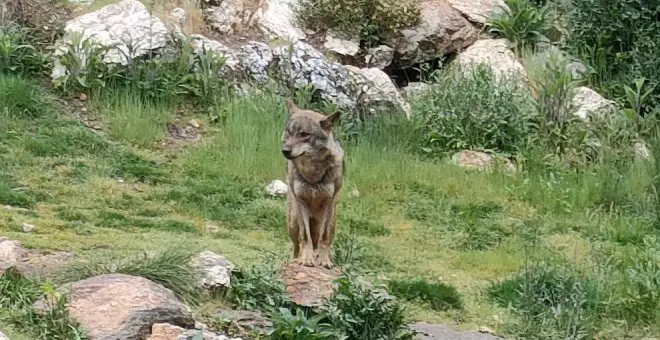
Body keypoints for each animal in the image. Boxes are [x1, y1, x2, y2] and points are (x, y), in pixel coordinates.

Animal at [280, 98, 346, 268]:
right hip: (292, 221)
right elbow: (305, 237)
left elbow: (324, 237)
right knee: (296, 245)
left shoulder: (328, 203)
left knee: (321, 238)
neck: (313, 173)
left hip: (332, 220)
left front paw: (323, 260)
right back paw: (296, 259)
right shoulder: (301, 202)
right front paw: (306, 259)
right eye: (289, 132)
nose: (285, 150)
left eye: (304, 134)